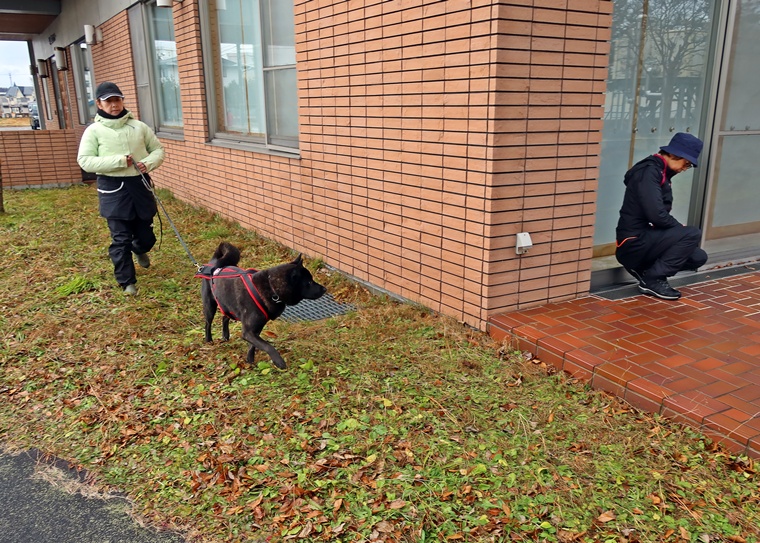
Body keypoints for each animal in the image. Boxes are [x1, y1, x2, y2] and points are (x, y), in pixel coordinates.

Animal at [197, 242, 326, 369]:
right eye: (309, 282)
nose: (324, 289)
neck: (271, 288)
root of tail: (215, 265)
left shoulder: (256, 329)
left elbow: (254, 345)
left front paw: (250, 360)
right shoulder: (248, 331)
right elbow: (267, 346)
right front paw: (279, 361)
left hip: (227, 304)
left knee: (225, 316)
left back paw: (225, 335)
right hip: (209, 306)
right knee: (208, 323)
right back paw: (209, 340)